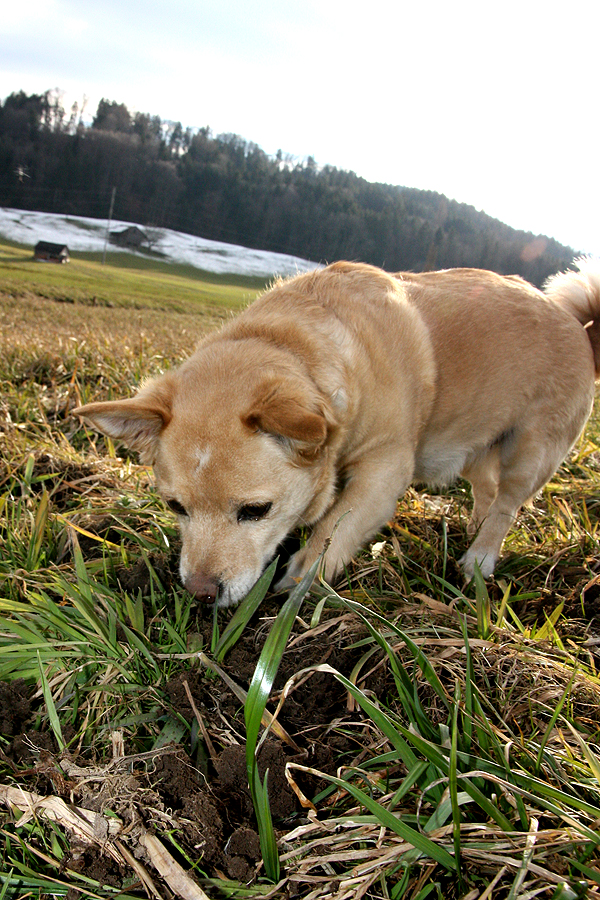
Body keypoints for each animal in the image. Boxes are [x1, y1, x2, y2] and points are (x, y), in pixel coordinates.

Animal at [75, 262, 600, 612]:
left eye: (256, 511)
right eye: (174, 507)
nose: (200, 594)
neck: (291, 345)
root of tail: (578, 323)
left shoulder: (387, 469)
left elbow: (335, 526)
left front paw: (303, 576)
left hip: (530, 451)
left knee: (508, 503)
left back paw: (479, 558)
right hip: (475, 444)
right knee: (487, 491)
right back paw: (472, 528)